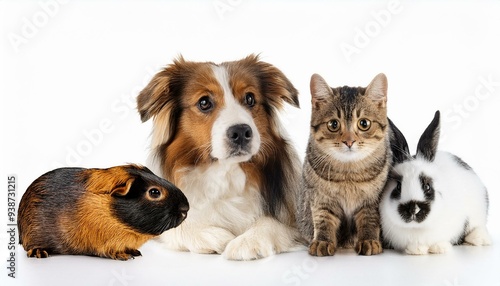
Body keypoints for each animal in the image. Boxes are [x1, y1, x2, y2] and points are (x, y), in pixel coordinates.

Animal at [135, 54, 304, 260]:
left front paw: (248, 241)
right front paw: (211, 235)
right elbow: (174, 227)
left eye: (250, 98)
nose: (241, 132)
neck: (226, 172)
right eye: (204, 102)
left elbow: (273, 223)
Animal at [296, 72, 394, 256]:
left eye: (364, 123)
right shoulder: (320, 197)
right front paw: (322, 241)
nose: (349, 141)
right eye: (333, 124)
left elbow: (369, 220)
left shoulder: (372, 200)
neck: (348, 174)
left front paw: (369, 240)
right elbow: (323, 219)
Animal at [380, 110, 490, 254]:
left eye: (427, 186)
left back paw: (480, 239)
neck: (416, 229)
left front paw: (440, 248)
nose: (413, 209)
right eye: (398, 186)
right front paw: (416, 250)